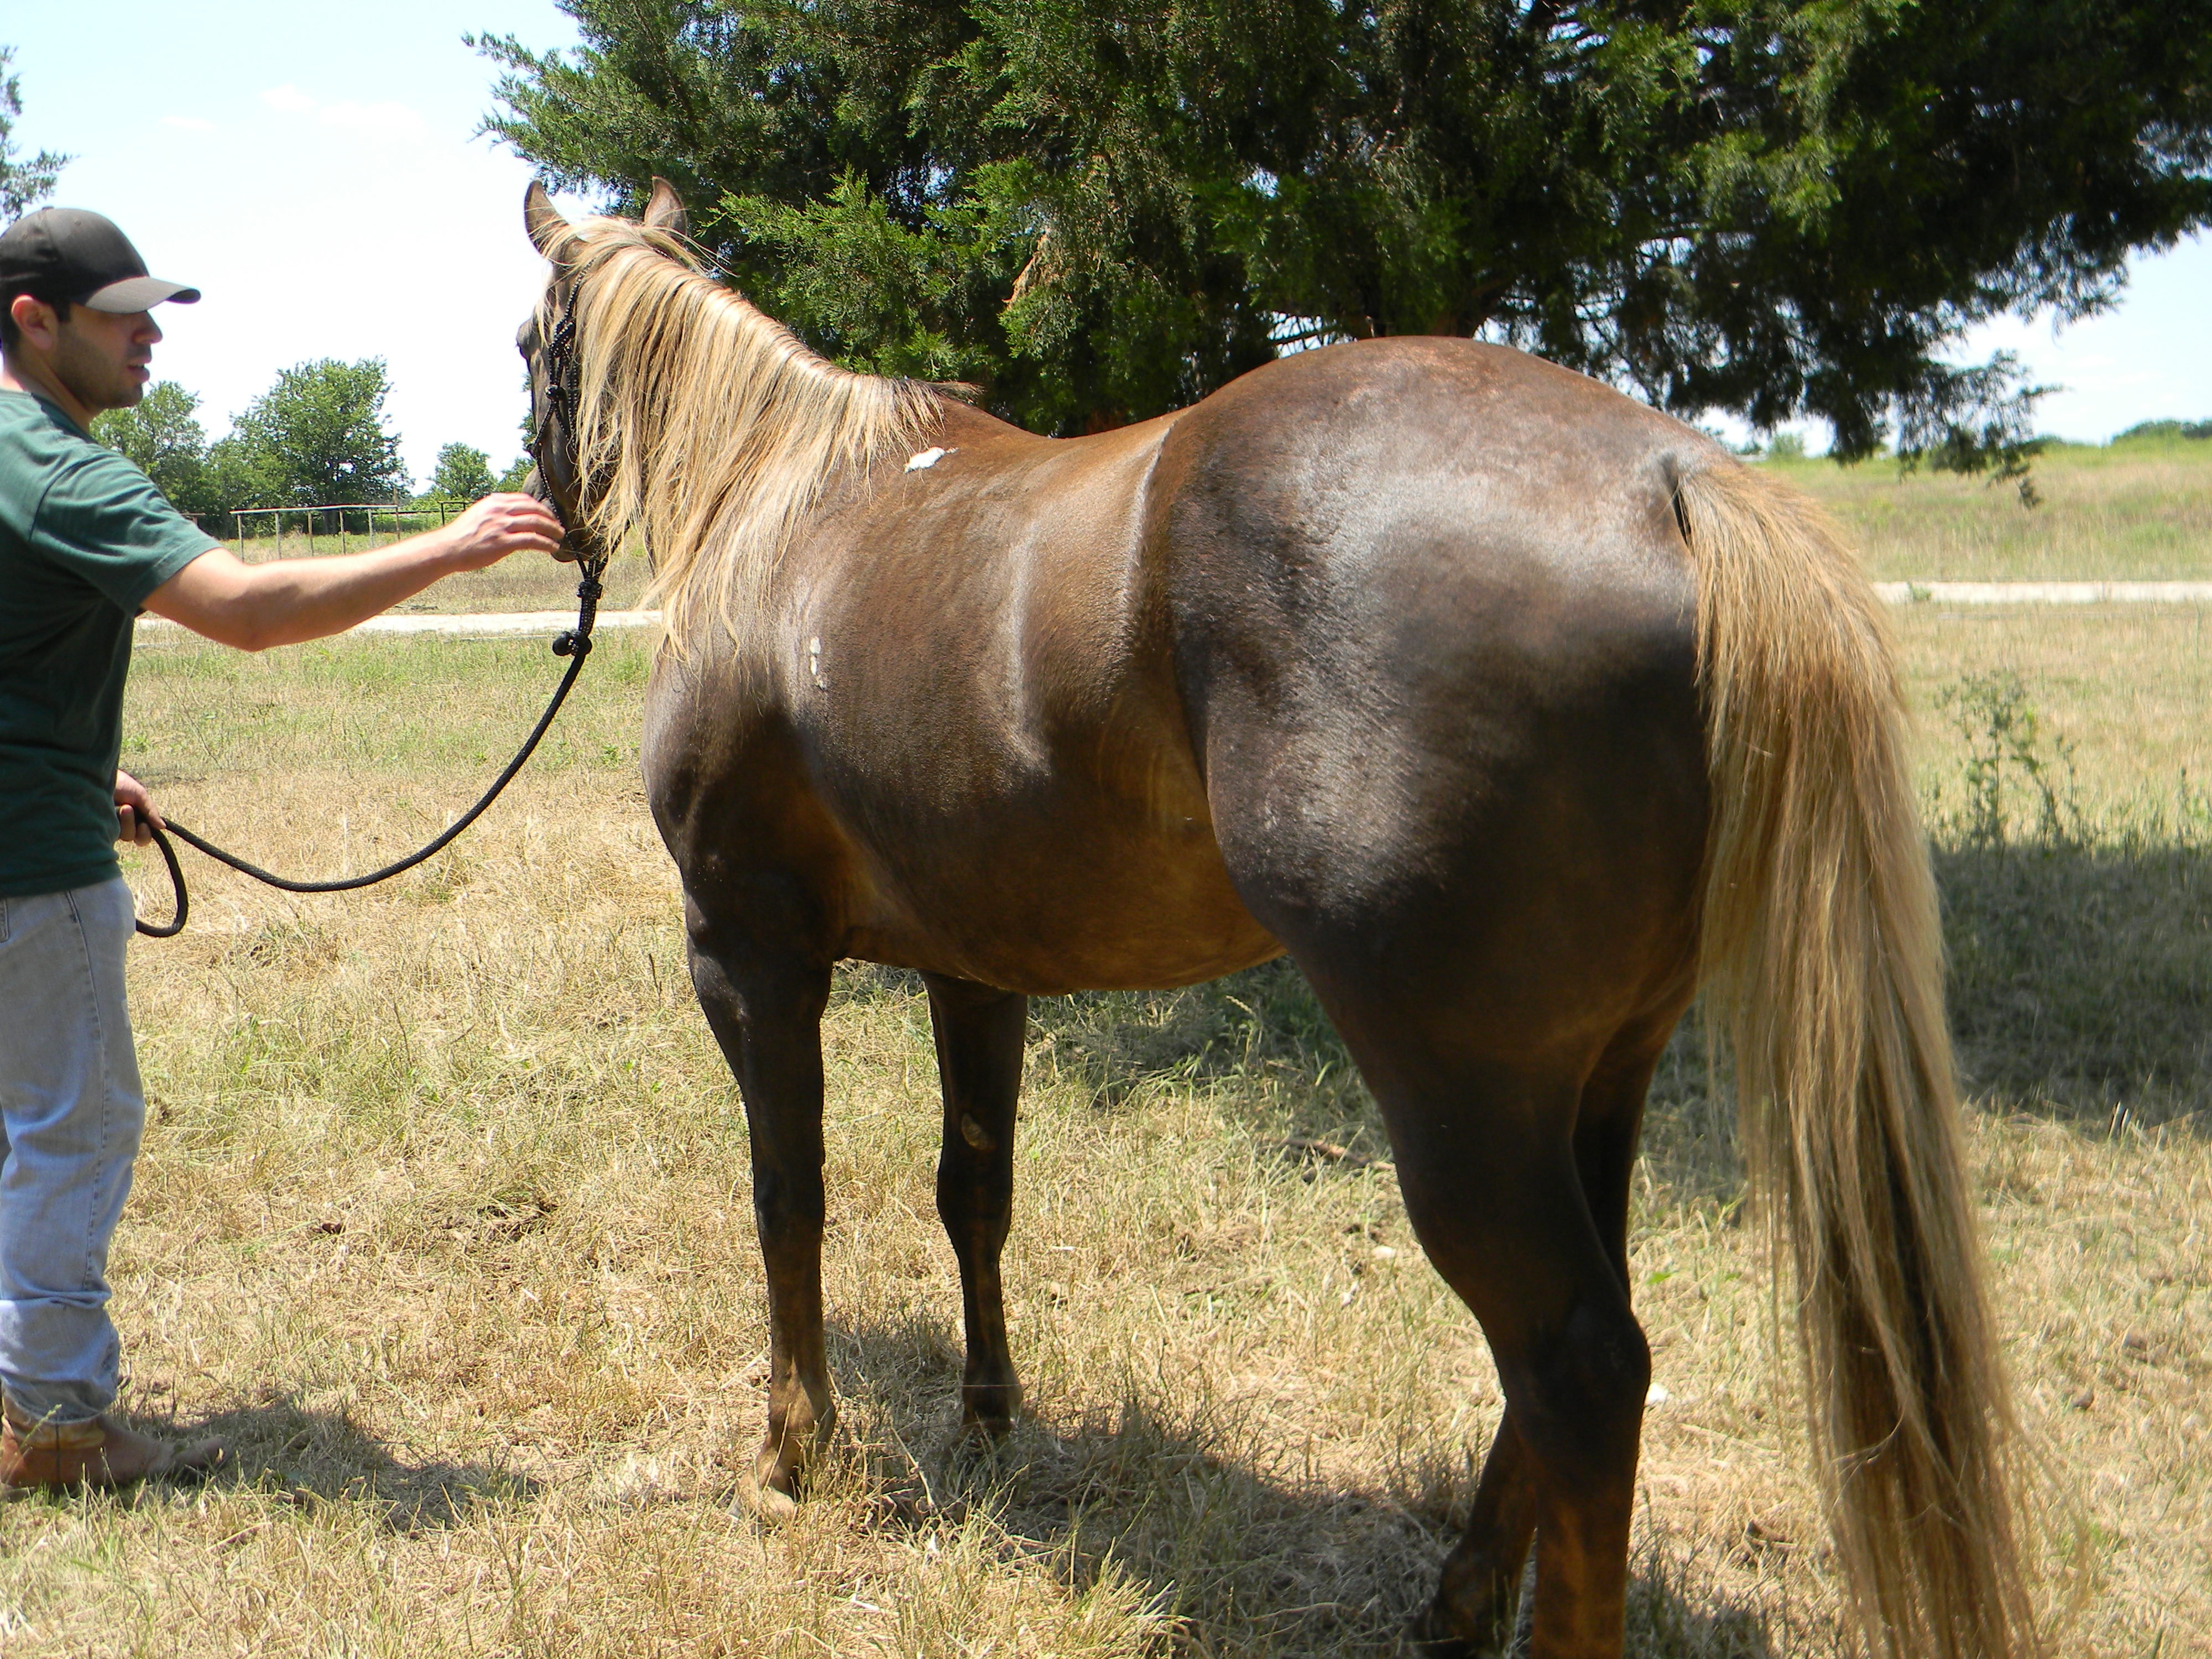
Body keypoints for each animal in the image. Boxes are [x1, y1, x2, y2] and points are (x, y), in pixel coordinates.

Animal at [515, 179, 2036, 1659]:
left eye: (532, 343)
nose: (546, 516)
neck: (783, 510)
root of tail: (1670, 484)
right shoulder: (975, 970)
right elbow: (973, 1192)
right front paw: (990, 1414)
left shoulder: (747, 956)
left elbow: (789, 1196)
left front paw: (793, 1453)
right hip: (1601, 1075)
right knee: (1578, 1341)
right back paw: (1458, 1596)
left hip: (1462, 1102)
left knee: (1579, 1366)